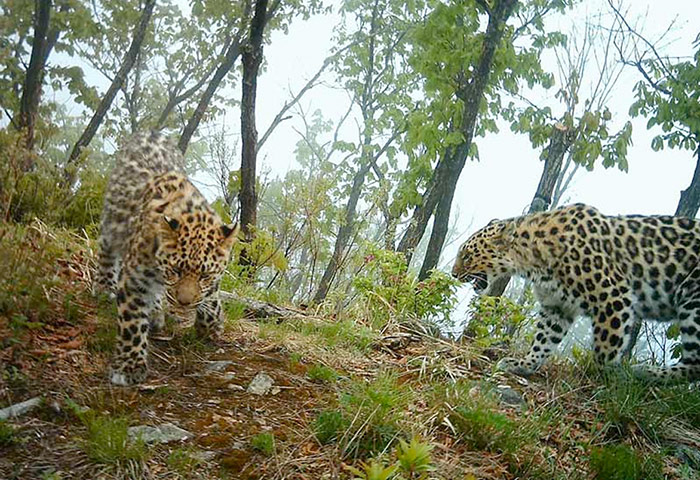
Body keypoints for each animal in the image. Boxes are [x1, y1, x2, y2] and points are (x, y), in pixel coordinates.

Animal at [96, 131, 238, 386]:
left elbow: (211, 297)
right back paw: (104, 285)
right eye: (176, 270)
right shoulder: (133, 279)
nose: (184, 303)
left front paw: (211, 326)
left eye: (204, 275)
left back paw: (155, 313)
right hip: (112, 220)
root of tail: (150, 132)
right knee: (106, 249)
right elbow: (132, 323)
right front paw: (129, 366)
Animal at [451, 203, 700, 381]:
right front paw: (523, 365)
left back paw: (646, 373)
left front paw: (599, 379)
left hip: (692, 299)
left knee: (695, 363)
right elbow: (542, 340)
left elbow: (606, 348)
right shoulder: (557, 307)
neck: (533, 261)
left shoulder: (614, 296)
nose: (453, 274)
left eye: (467, 255)